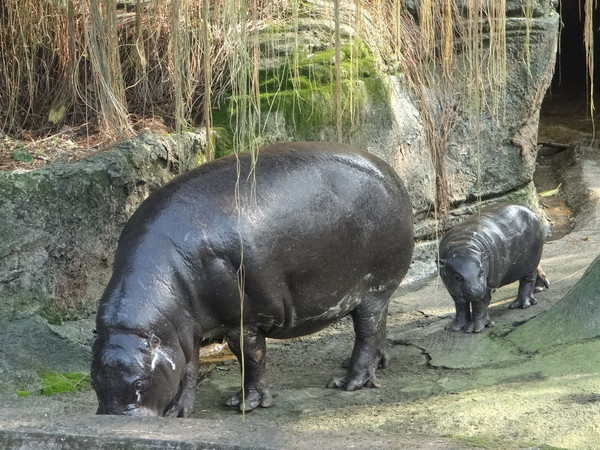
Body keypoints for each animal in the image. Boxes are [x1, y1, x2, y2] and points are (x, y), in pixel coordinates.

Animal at [91, 142, 414, 416]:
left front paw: (246, 404)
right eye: (94, 380)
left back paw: (348, 382)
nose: (114, 420)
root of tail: (392, 173)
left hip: (373, 288)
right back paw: (375, 364)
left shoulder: (242, 319)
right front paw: (179, 412)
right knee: (378, 328)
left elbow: (251, 357)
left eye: (139, 383)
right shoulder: (182, 330)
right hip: (377, 293)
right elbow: (188, 367)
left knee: (366, 332)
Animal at [436, 202, 548, 332]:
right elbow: (460, 305)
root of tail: (531, 211)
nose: (476, 290)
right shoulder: (451, 287)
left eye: (482, 271)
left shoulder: (488, 284)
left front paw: (474, 329)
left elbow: (480, 303)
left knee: (527, 280)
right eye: (456, 276)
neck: (463, 246)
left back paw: (521, 304)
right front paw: (454, 327)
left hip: (530, 262)